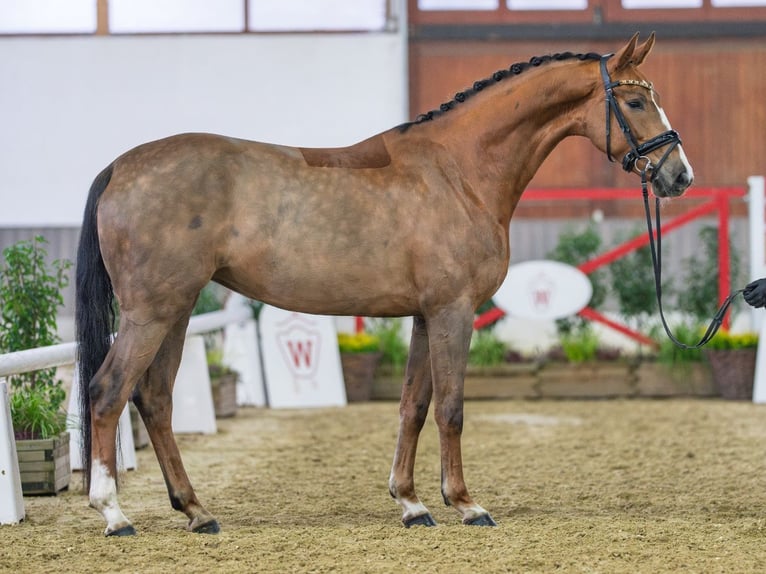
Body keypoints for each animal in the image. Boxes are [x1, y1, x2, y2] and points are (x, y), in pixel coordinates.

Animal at [75, 32, 693, 536]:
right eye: (635, 101)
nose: (679, 176)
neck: (459, 171)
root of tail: (120, 168)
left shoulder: (424, 315)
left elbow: (413, 406)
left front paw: (411, 503)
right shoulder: (453, 311)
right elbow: (451, 408)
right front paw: (465, 504)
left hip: (177, 311)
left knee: (154, 398)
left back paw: (196, 511)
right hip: (152, 313)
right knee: (109, 392)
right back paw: (114, 513)